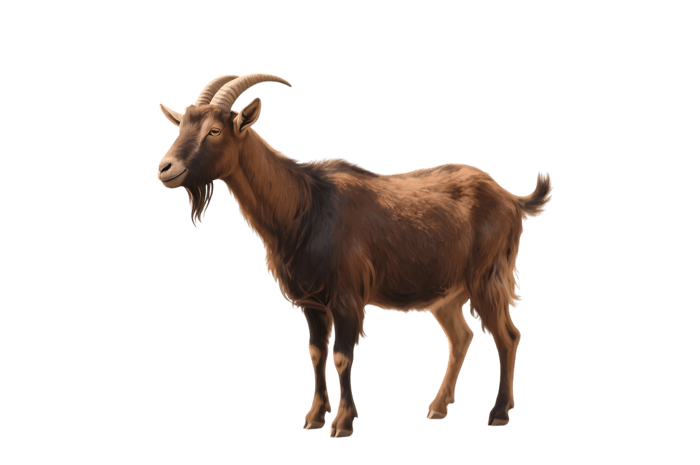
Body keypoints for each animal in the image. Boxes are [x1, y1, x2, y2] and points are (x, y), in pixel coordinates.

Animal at [156, 73, 553, 438]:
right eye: (183, 125)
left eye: (214, 131)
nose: (165, 168)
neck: (303, 207)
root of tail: (511, 199)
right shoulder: (312, 303)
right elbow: (316, 353)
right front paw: (315, 417)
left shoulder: (347, 296)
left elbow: (342, 356)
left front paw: (342, 423)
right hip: (447, 293)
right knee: (460, 338)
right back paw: (438, 407)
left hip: (486, 277)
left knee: (507, 336)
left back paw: (498, 413)